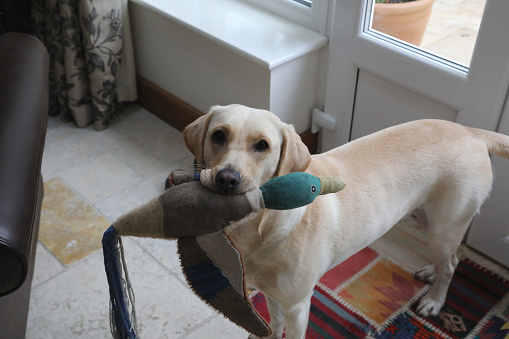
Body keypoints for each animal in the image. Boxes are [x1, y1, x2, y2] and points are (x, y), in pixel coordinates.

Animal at [183, 105, 508, 338]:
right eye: (218, 135)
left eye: (262, 145)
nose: (227, 179)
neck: (261, 229)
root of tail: (470, 131)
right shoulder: (272, 295)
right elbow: (274, 323)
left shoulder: (298, 306)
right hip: (431, 221)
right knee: (446, 260)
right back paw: (431, 272)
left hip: (446, 225)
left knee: (452, 263)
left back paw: (436, 300)